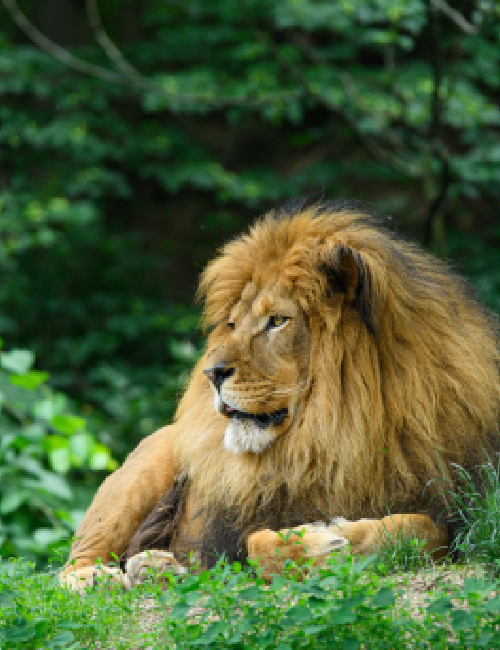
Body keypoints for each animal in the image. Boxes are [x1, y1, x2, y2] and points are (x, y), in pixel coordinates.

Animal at [61, 198, 500, 589]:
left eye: (276, 321)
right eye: (233, 324)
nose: (211, 373)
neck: (332, 436)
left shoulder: (453, 512)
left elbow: (412, 531)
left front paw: (346, 535)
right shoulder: (234, 533)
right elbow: (259, 544)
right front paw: (322, 544)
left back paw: (157, 568)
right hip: (141, 471)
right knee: (75, 560)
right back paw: (97, 578)